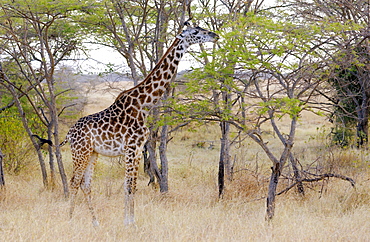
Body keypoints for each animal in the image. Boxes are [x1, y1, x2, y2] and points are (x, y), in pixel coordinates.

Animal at [59, 23, 218, 226]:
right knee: (74, 181)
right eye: (196, 32)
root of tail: (69, 133)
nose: (214, 35)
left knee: (85, 184)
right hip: (80, 152)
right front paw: (129, 222)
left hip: (92, 153)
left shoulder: (137, 149)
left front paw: (129, 220)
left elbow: (132, 185)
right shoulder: (131, 148)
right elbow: (128, 186)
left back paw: (95, 222)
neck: (144, 104)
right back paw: (69, 219)